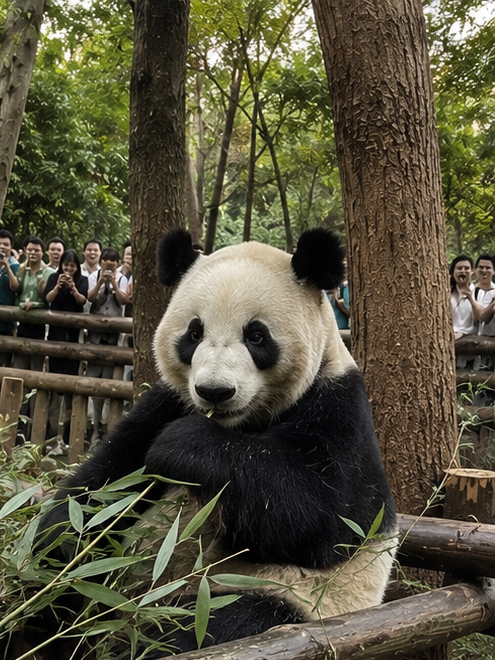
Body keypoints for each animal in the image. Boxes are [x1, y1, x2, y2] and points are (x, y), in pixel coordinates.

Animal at [35, 227, 397, 655]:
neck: (240, 425)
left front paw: (183, 446)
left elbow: (327, 514)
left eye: (256, 335)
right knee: (71, 595)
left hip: (277, 598)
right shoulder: (167, 402)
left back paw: (126, 637)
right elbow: (109, 478)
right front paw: (61, 541)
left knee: (206, 626)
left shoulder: (339, 407)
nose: (215, 392)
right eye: (194, 333)